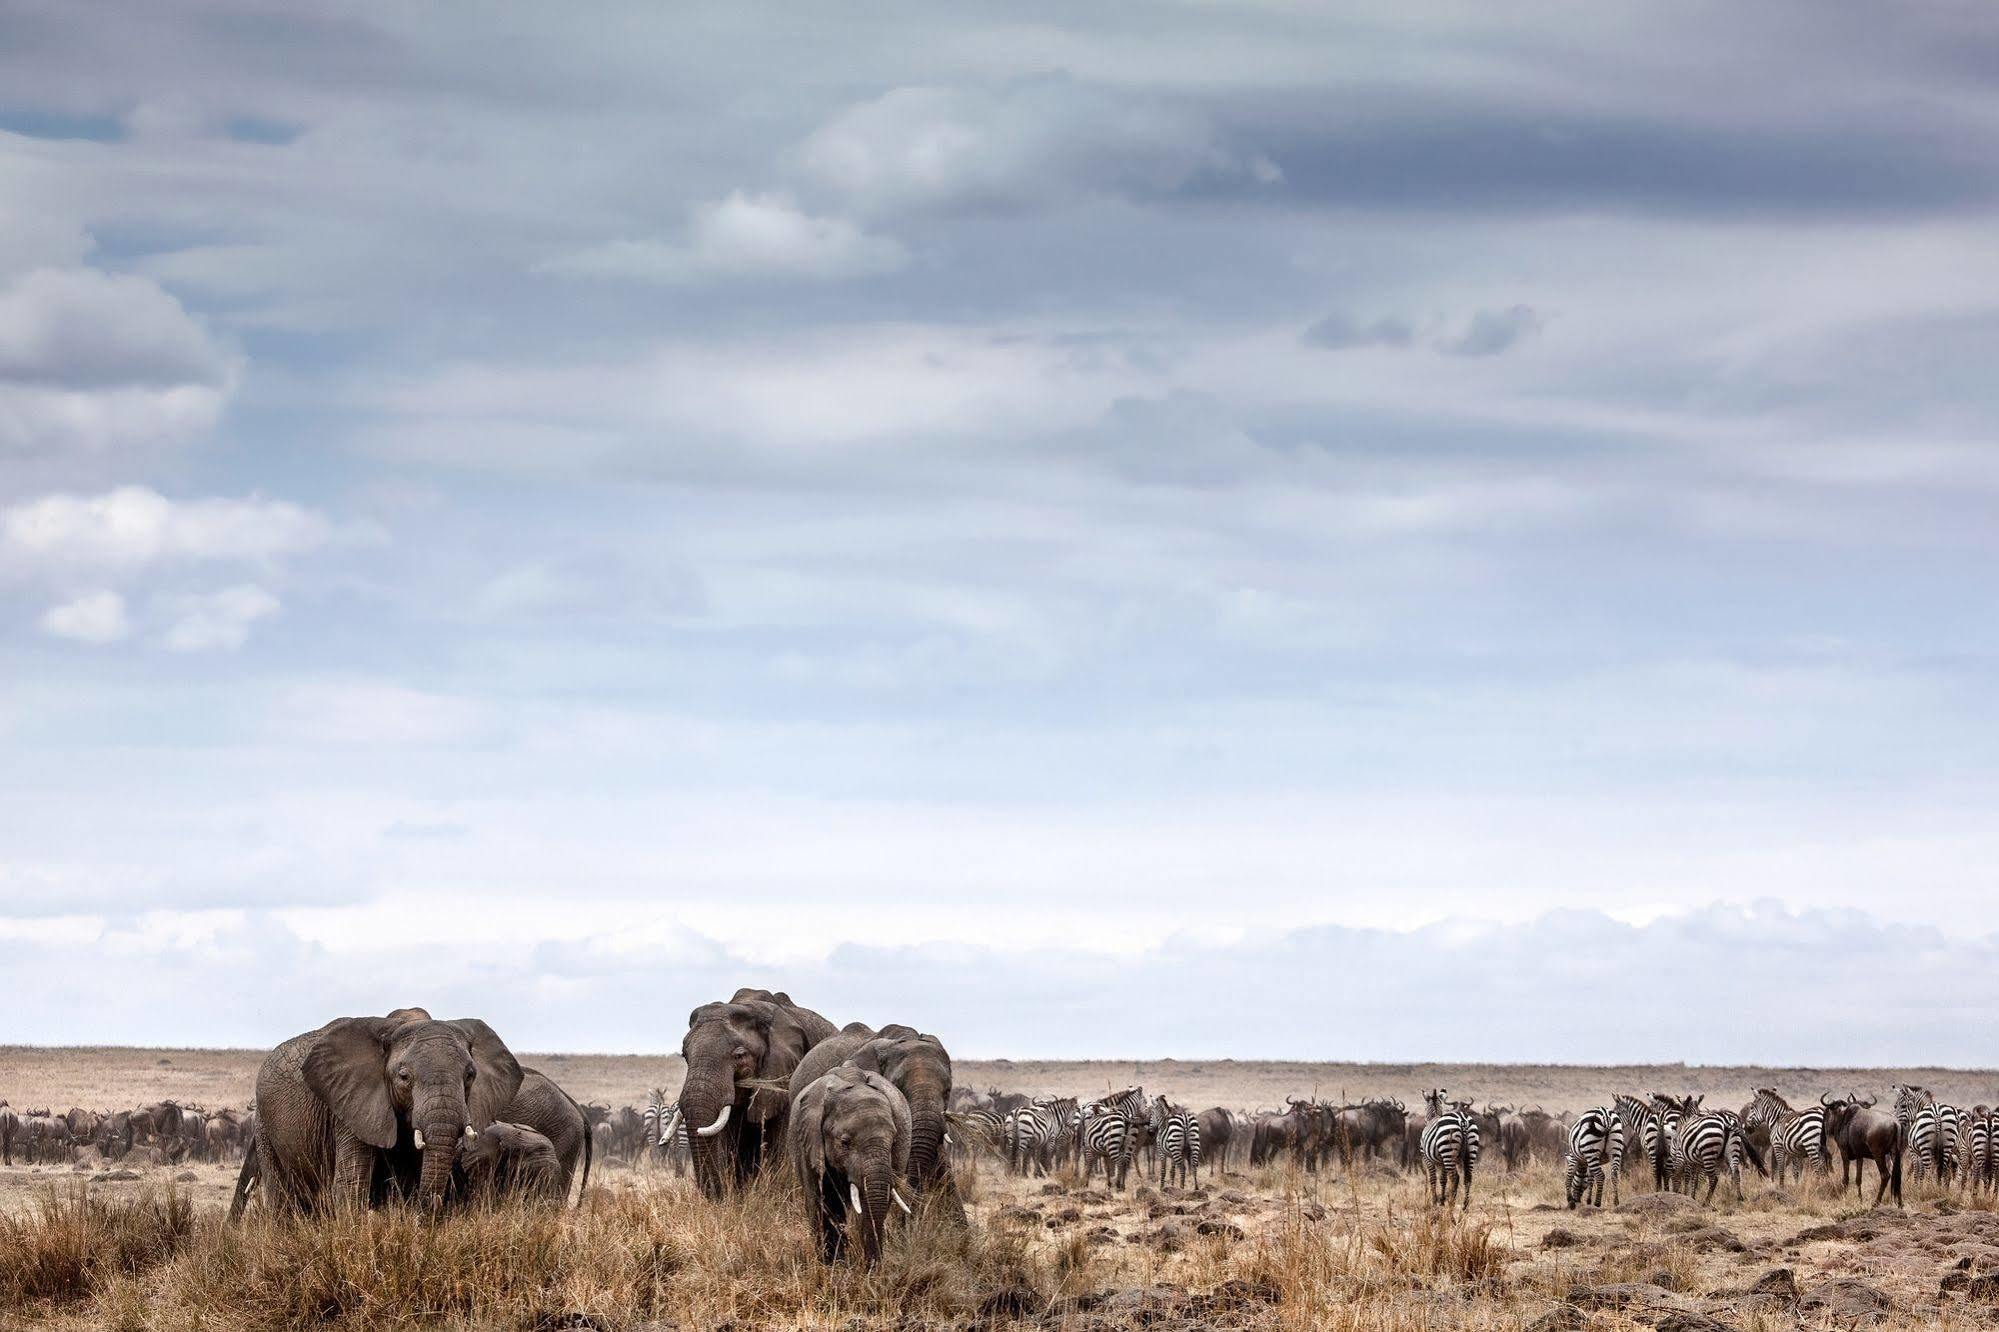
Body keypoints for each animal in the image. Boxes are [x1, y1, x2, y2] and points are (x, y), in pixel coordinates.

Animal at [228, 1008, 523, 1216]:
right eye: (404, 1077)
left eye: (470, 1075)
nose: (432, 1206)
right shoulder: (349, 1106)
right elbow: (351, 1185)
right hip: (265, 1127)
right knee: (284, 1202)